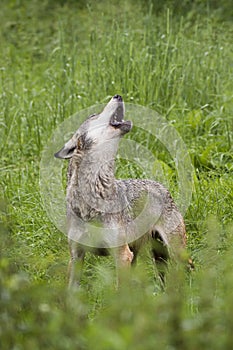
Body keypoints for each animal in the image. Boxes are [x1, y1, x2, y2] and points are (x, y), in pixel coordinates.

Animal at [54, 93, 187, 288]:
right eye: (94, 115)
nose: (117, 95)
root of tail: (160, 185)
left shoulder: (122, 255)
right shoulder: (76, 255)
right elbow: (71, 291)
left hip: (174, 251)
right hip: (151, 256)